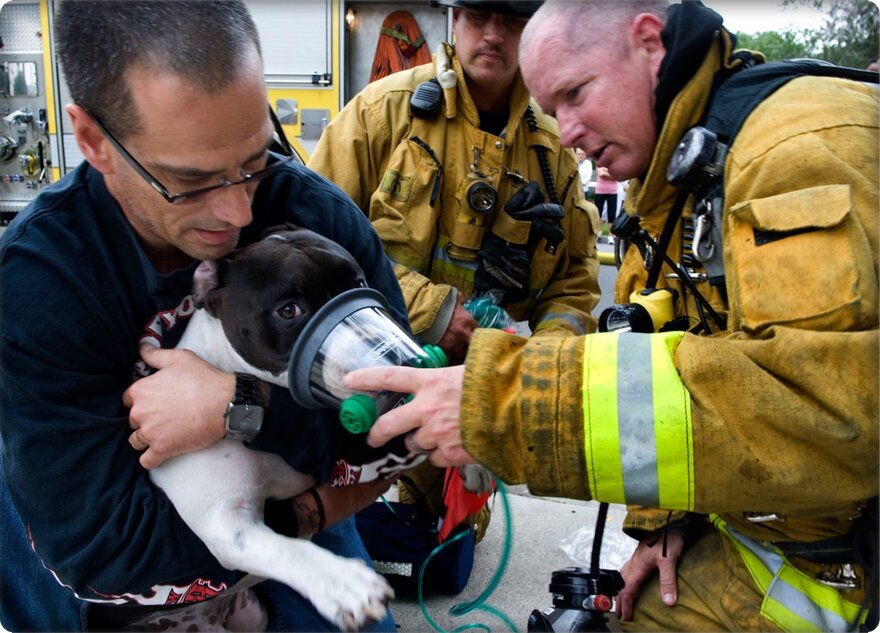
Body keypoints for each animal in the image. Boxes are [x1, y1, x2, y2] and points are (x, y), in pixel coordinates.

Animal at [150, 225, 398, 628]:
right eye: (288, 310)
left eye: (358, 283)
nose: (384, 347)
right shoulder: (227, 522)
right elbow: (287, 549)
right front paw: (342, 583)